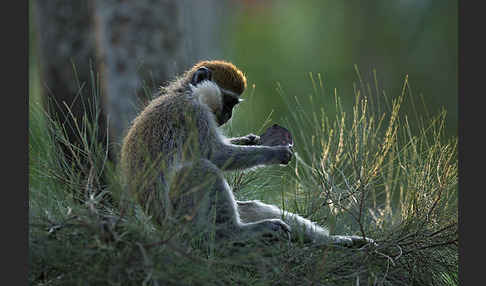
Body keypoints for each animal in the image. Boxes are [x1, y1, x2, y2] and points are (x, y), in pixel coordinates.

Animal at [120, 59, 372, 246]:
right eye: (229, 101)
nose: (228, 115)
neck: (188, 92)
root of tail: (158, 225)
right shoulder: (192, 113)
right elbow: (215, 155)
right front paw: (276, 152)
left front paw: (250, 140)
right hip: (181, 219)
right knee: (203, 169)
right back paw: (233, 233)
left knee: (252, 207)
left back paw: (333, 240)